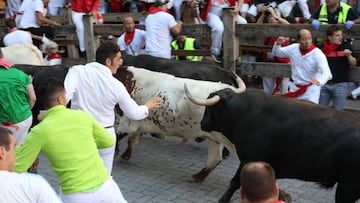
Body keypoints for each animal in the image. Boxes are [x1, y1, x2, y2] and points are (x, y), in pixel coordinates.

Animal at [114, 66, 246, 181]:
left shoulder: (127, 121)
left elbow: (117, 135)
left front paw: (116, 153)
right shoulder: (139, 124)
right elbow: (132, 139)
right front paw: (125, 155)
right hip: (215, 138)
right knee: (215, 158)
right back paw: (198, 176)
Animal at [194, 89, 360, 203]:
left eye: (210, 108)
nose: (202, 123)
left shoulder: (249, 160)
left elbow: (235, 182)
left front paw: (223, 199)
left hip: (348, 186)